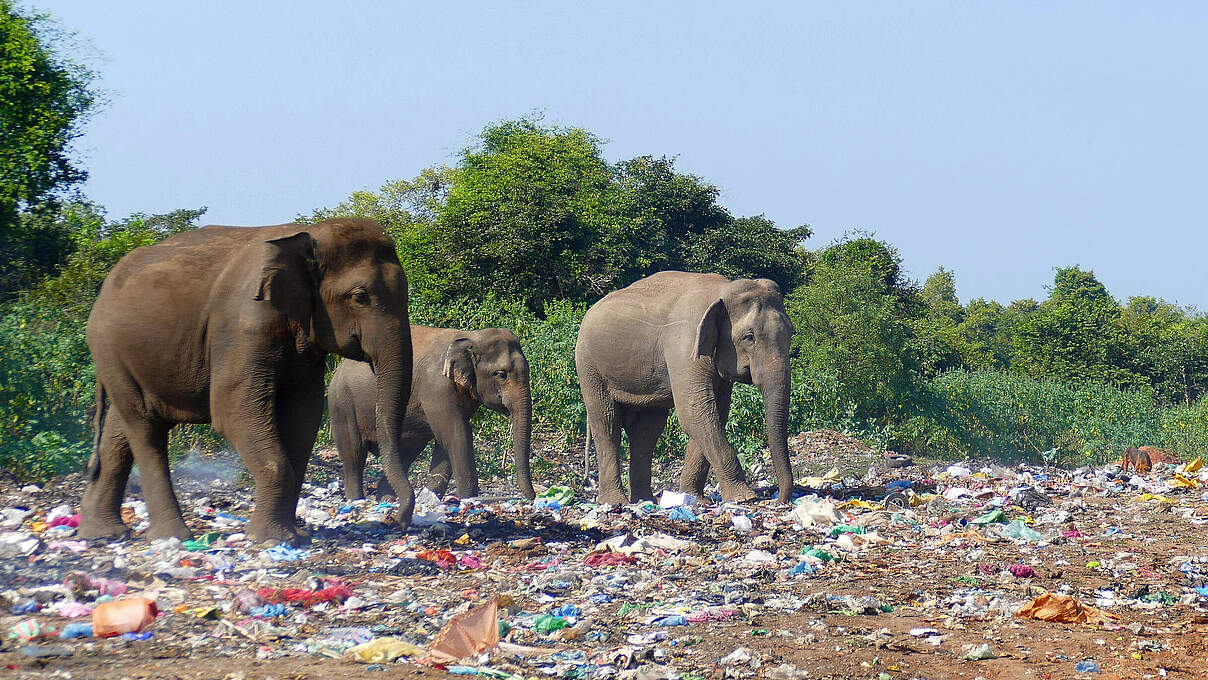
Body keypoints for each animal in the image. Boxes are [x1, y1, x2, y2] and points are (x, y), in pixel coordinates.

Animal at [80, 221, 413, 545]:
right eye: (360, 297)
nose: (395, 521)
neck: (308, 234)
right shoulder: (244, 326)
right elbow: (232, 412)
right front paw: (269, 540)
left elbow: (303, 416)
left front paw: (295, 536)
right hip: (108, 349)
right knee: (145, 428)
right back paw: (171, 536)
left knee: (120, 426)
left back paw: (102, 533)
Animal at [330, 326, 538, 507]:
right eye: (501, 374)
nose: (532, 497)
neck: (471, 337)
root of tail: (338, 369)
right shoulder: (436, 387)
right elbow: (457, 435)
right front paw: (469, 499)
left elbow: (446, 440)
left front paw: (429, 497)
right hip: (342, 403)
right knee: (354, 453)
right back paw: (357, 500)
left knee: (405, 453)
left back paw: (387, 500)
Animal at [572, 271, 792, 504]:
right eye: (749, 337)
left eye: (791, 333)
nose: (778, 500)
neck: (722, 289)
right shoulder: (683, 344)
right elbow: (695, 413)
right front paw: (744, 498)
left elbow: (713, 414)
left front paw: (695, 499)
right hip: (589, 366)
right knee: (607, 422)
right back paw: (616, 502)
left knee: (647, 430)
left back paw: (645, 500)